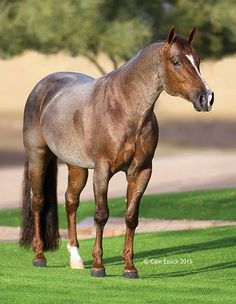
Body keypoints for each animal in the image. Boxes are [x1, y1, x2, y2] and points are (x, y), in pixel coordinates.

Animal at [18, 26, 214, 278]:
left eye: (197, 61)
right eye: (176, 61)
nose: (206, 97)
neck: (123, 109)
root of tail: (43, 86)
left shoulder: (141, 171)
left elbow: (131, 217)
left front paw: (129, 267)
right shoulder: (103, 170)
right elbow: (101, 215)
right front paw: (98, 266)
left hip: (77, 166)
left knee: (71, 201)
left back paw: (76, 259)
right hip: (38, 157)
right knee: (38, 202)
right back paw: (40, 256)